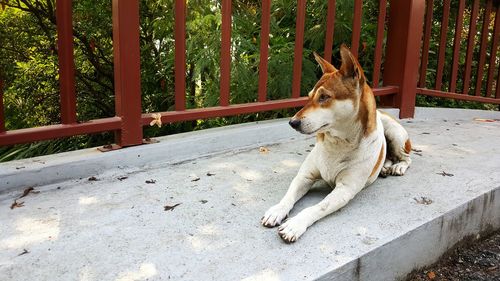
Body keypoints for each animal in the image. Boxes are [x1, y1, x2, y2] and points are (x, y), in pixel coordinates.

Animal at [262, 44, 410, 242]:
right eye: (309, 96)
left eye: (324, 97)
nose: (292, 122)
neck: (338, 142)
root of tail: (383, 112)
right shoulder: (304, 177)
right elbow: (289, 196)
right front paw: (277, 210)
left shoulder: (344, 190)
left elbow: (318, 207)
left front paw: (295, 224)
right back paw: (385, 167)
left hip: (396, 133)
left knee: (406, 157)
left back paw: (398, 166)